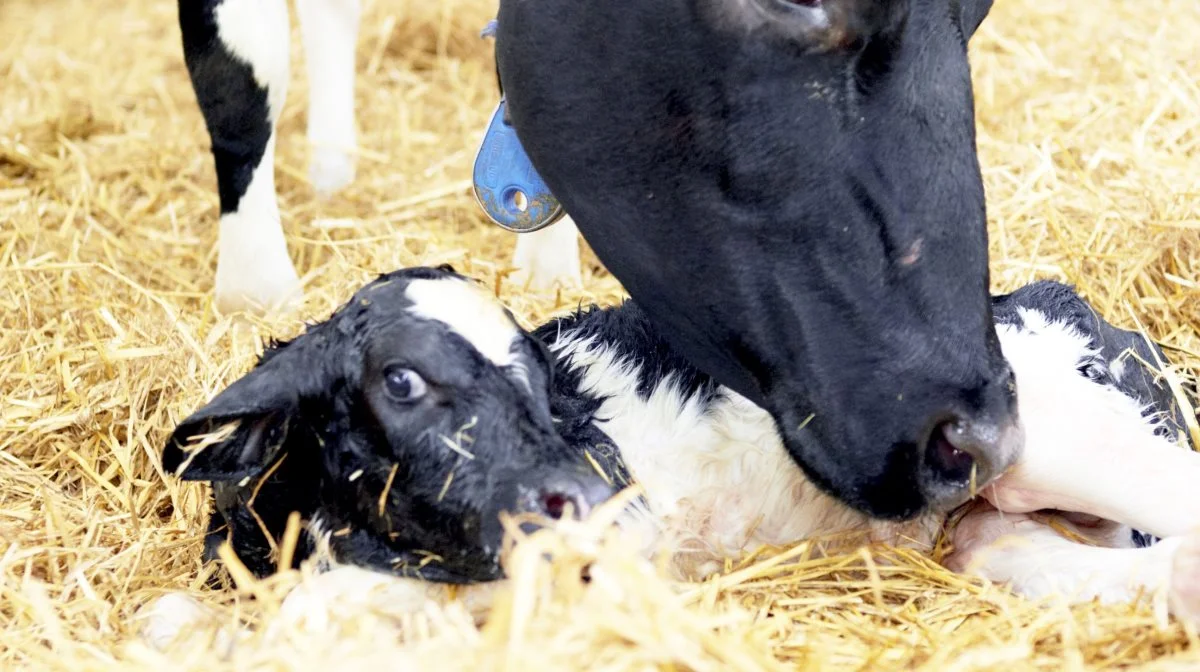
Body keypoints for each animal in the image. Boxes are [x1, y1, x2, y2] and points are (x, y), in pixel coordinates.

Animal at [142, 274, 1200, 652]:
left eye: (538, 385)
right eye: (400, 381)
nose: (591, 494)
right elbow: (172, 620)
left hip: (1060, 432)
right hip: (998, 516)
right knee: (1015, 550)